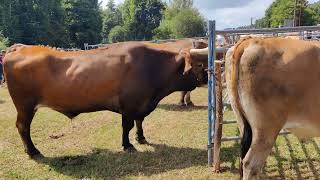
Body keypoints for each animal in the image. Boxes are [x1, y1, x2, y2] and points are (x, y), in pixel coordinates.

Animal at [3, 42, 209, 156]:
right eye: (200, 64)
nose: (210, 77)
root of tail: (20, 48)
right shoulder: (129, 104)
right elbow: (127, 125)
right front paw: (128, 145)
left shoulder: (141, 103)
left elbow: (139, 121)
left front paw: (141, 138)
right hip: (25, 105)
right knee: (22, 126)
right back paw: (32, 151)